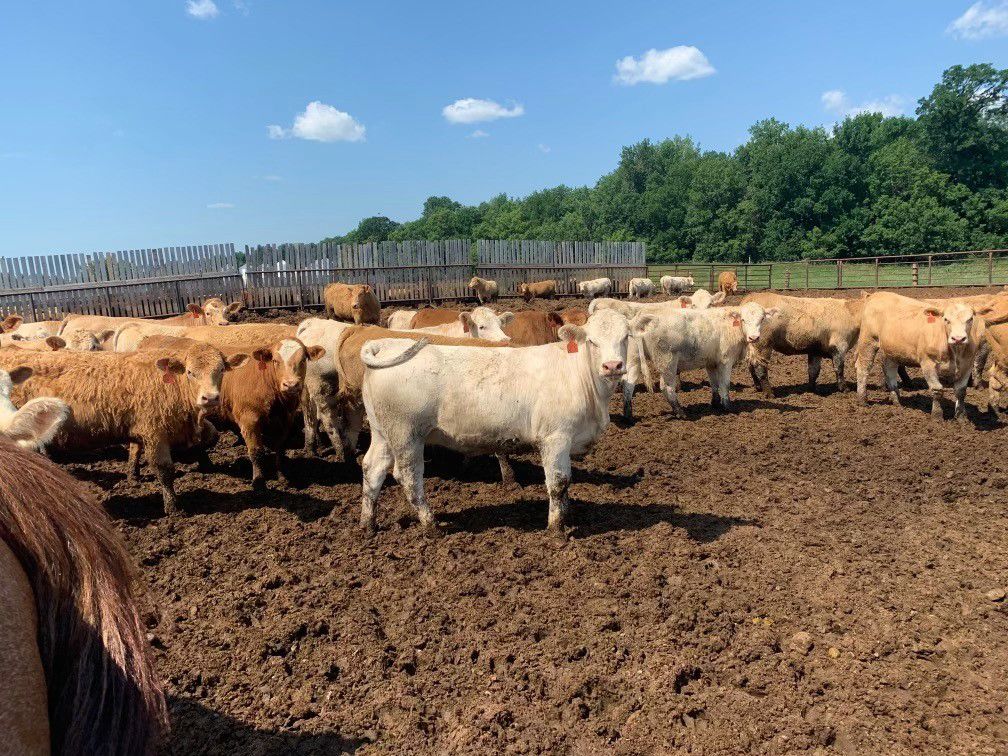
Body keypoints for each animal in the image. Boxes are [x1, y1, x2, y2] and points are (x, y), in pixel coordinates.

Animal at [0, 344, 248, 514]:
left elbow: (136, 449)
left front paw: (133, 474)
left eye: (221, 370)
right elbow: (164, 471)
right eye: (190, 372)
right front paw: (173, 508)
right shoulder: (155, 432)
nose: (210, 398)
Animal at [138, 335, 324, 489]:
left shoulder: (285, 420)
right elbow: (256, 451)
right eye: (276, 361)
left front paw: (282, 476)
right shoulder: (249, 420)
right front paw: (259, 484)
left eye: (303, 359)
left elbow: (280, 448)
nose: (291, 385)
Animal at [357, 309, 642, 536]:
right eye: (592, 341)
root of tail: (386, 345)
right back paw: (431, 525)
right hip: (407, 434)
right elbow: (558, 482)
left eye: (625, 337)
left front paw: (567, 514)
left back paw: (368, 524)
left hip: (383, 433)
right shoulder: (555, 438)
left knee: (372, 468)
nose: (612, 365)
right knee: (408, 476)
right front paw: (557, 529)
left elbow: (565, 484)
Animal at [625, 302, 778, 419]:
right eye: (743, 319)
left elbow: (714, 384)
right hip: (667, 361)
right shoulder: (726, 361)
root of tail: (647, 313)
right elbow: (724, 385)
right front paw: (727, 407)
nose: (754, 337)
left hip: (634, 359)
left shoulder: (711, 362)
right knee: (666, 387)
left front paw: (715, 403)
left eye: (762, 319)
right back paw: (680, 412)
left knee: (628, 385)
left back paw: (628, 417)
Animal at [855, 291, 991, 420]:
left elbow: (961, 392)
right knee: (863, 369)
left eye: (970, 319)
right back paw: (862, 399)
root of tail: (876, 295)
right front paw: (937, 416)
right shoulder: (927, 363)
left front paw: (961, 417)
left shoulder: (967, 365)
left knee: (890, 371)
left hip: (891, 350)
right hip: (868, 341)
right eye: (946, 319)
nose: (958, 338)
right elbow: (937, 390)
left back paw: (896, 400)